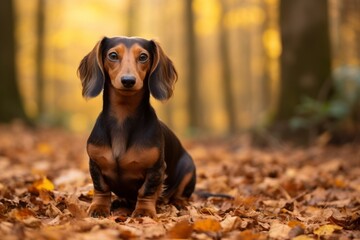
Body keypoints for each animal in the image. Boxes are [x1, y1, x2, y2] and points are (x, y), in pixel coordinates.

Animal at [77, 37, 197, 218]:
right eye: (113, 55)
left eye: (143, 57)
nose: (128, 80)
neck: (123, 117)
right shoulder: (95, 163)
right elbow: (101, 188)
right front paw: (99, 207)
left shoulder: (156, 168)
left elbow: (146, 191)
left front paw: (144, 211)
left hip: (189, 168)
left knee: (180, 194)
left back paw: (179, 203)